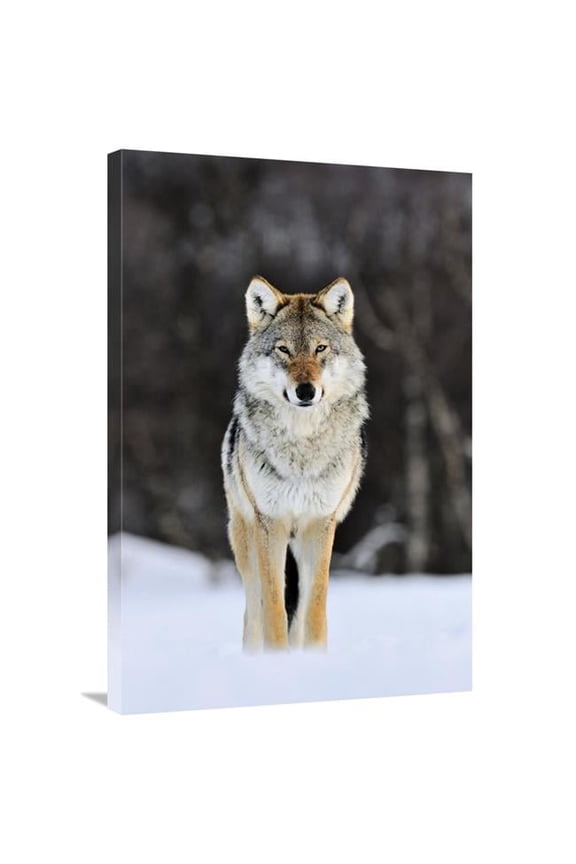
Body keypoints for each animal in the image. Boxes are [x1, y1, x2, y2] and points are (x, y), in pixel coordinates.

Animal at [222, 276, 369, 651]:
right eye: (284, 350)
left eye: (320, 348)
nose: (305, 391)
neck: (301, 452)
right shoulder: (269, 523)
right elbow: (273, 608)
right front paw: (277, 659)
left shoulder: (320, 524)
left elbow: (314, 608)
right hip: (246, 540)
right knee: (253, 609)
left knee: (300, 612)